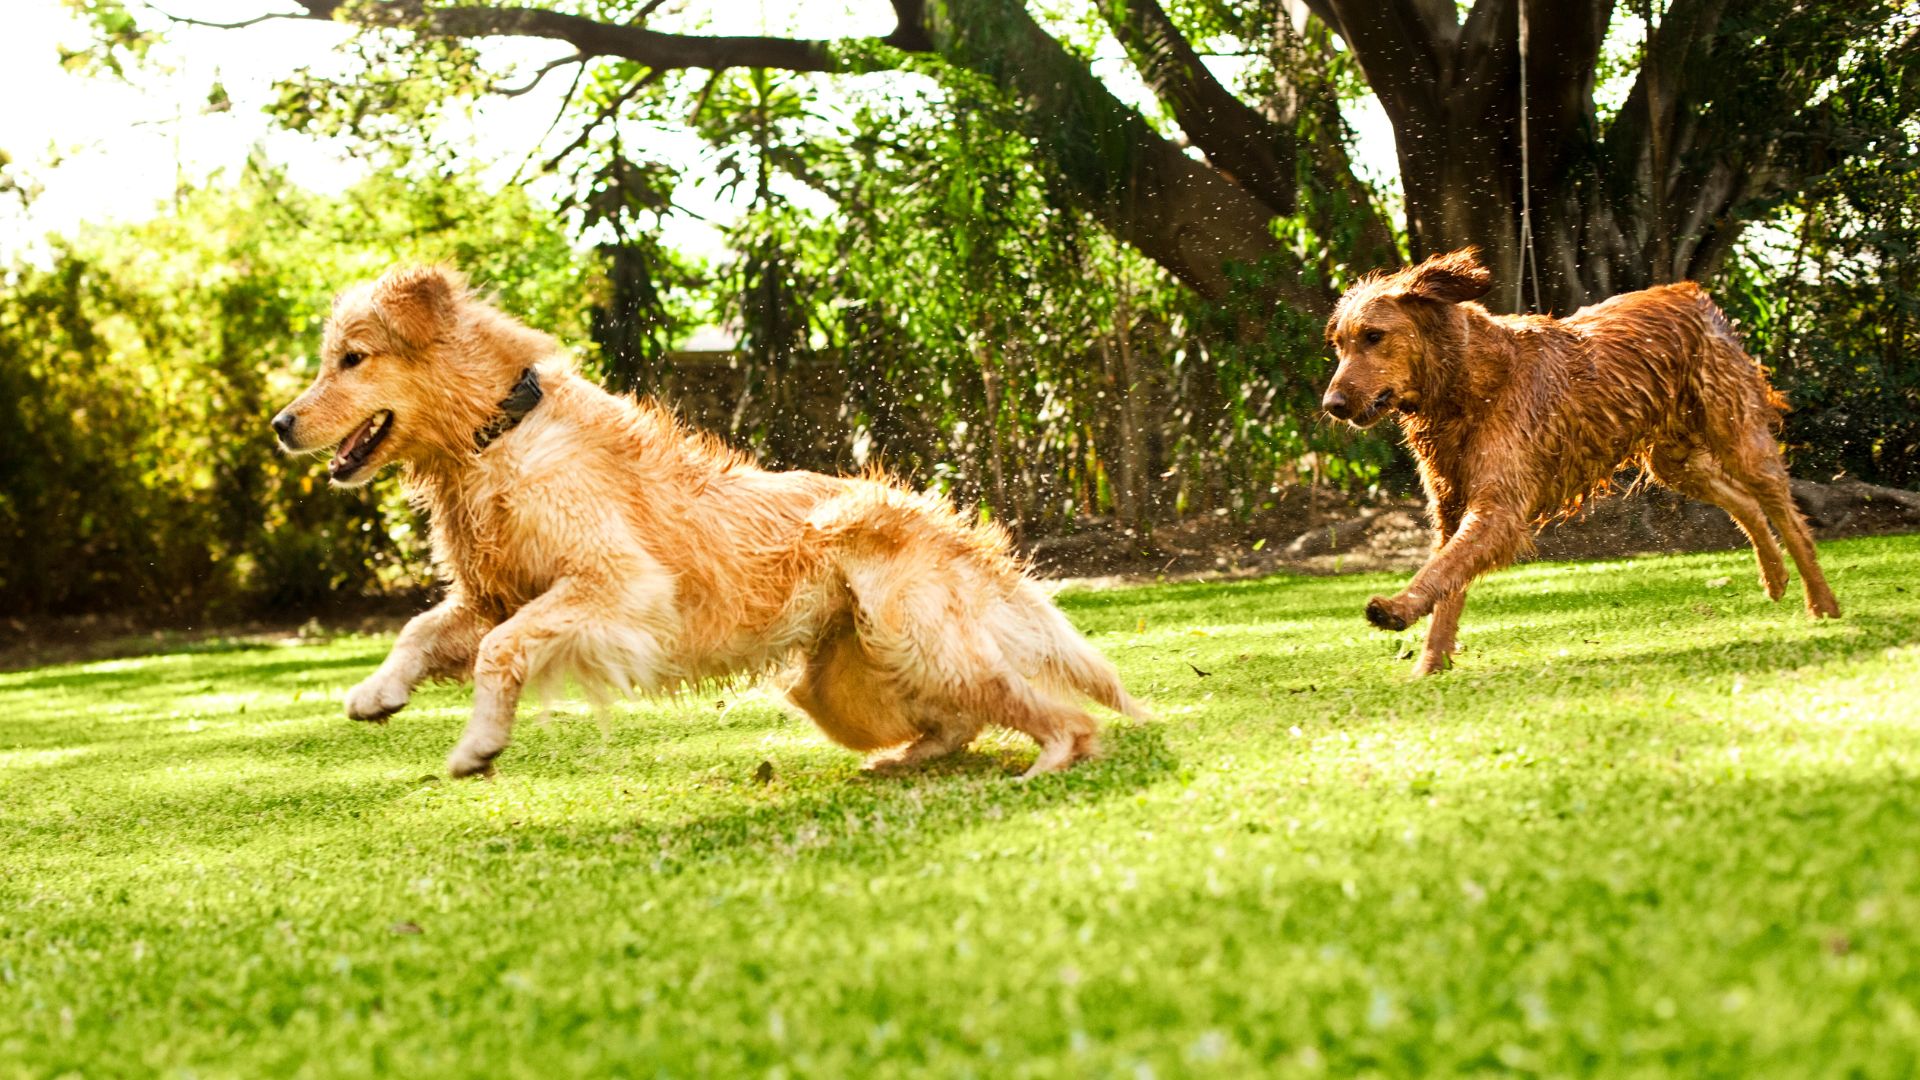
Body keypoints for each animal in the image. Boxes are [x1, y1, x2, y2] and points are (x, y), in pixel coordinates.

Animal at [270, 267, 1136, 772]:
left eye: (352, 359)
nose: (279, 423)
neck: (497, 433)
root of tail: (933, 515)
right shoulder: (493, 592)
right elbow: (424, 631)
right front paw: (378, 692)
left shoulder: (618, 586)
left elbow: (500, 649)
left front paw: (481, 741)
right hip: (840, 684)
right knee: (963, 719)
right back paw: (905, 759)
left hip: (911, 640)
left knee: (1054, 713)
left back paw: (1051, 761)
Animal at [1320, 247, 1827, 676]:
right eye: (1339, 345)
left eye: (1374, 337)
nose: (1332, 405)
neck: (1471, 383)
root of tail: (1690, 292)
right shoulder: (1451, 507)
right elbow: (1449, 582)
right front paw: (1429, 663)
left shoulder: (1498, 509)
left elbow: (1440, 571)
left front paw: (1396, 610)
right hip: (1675, 460)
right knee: (1745, 504)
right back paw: (1775, 576)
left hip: (1738, 437)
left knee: (1788, 517)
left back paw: (1823, 604)